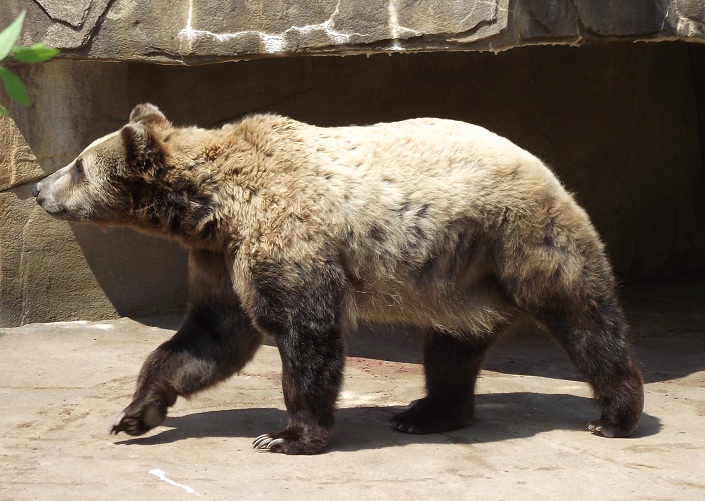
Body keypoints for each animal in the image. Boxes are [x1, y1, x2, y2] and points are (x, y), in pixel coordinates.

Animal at [33, 104, 644, 454]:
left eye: (79, 165)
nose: (38, 190)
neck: (212, 208)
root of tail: (544, 167)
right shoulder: (220, 258)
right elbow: (209, 337)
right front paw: (135, 413)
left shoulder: (285, 234)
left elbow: (304, 331)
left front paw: (285, 435)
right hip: (456, 277)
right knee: (452, 347)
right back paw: (426, 414)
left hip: (515, 236)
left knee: (583, 316)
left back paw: (615, 415)